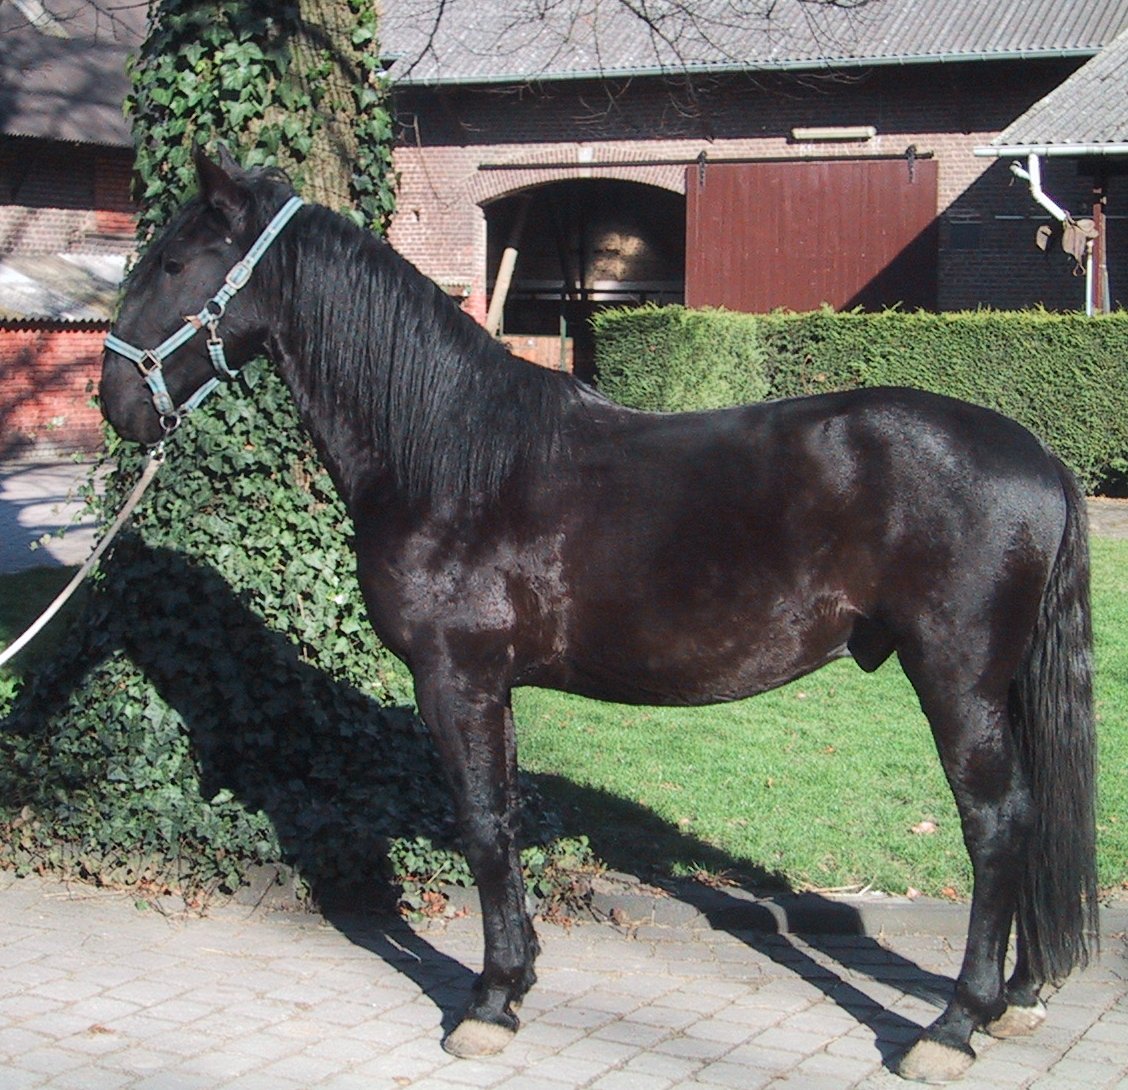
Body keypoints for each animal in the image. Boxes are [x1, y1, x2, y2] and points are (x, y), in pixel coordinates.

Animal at [100, 148, 1098, 1083]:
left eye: (177, 262)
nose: (114, 401)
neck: (450, 456)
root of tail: (1039, 455)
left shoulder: (455, 678)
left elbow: (481, 826)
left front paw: (488, 1004)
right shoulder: (492, 687)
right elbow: (500, 820)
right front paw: (516, 979)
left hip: (957, 682)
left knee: (997, 825)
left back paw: (952, 1027)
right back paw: (1016, 997)